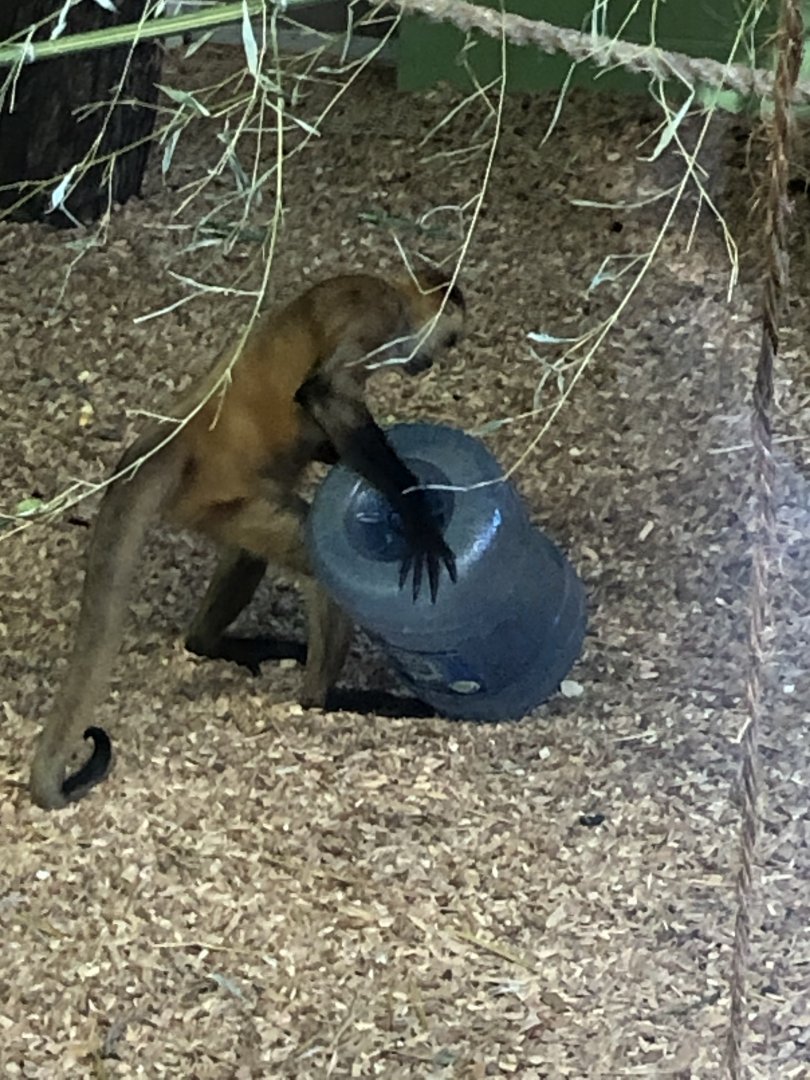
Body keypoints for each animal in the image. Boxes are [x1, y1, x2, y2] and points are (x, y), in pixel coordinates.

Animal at [28, 266, 465, 811]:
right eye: (449, 340)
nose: (429, 365)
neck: (392, 292)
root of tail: (182, 436)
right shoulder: (374, 312)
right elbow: (326, 394)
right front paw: (418, 516)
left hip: (224, 506)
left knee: (248, 553)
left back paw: (207, 643)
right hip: (215, 492)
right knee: (315, 564)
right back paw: (324, 700)